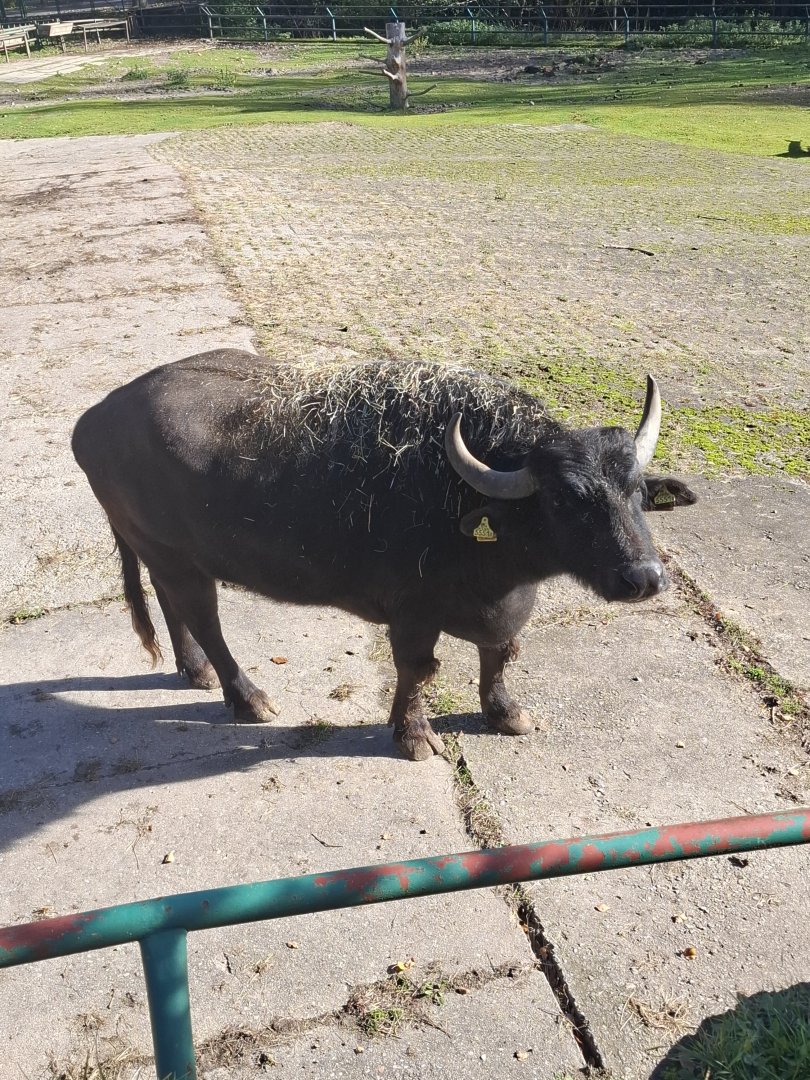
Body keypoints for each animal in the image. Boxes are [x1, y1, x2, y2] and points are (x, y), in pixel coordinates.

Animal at [72, 351, 696, 760]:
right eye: (565, 499)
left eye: (636, 491)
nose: (644, 577)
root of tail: (92, 420)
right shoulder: (412, 613)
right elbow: (418, 669)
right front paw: (414, 735)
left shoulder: (501, 612)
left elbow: (500, 655)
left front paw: (506, 714)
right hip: (179, 560)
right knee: (205, 620)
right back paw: (249, 699)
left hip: (165, 556)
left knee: (170, 605)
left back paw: (195, 672)